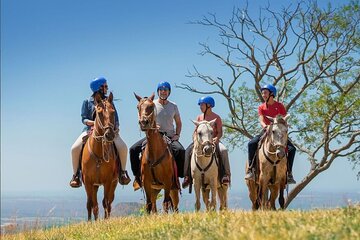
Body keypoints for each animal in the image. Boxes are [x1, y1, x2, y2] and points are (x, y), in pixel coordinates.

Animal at [81, 92, 118, 221]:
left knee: (109, 202)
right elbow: (93, 205)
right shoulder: (88, 182)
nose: (110, 135)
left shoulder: (108, 181)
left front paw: (106, 221)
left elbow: (106, 202)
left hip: (113, 183)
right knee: (90, 203)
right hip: (94, 186)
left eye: (113, 112)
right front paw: (93, 222)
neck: (98, 154)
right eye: (99, 113)